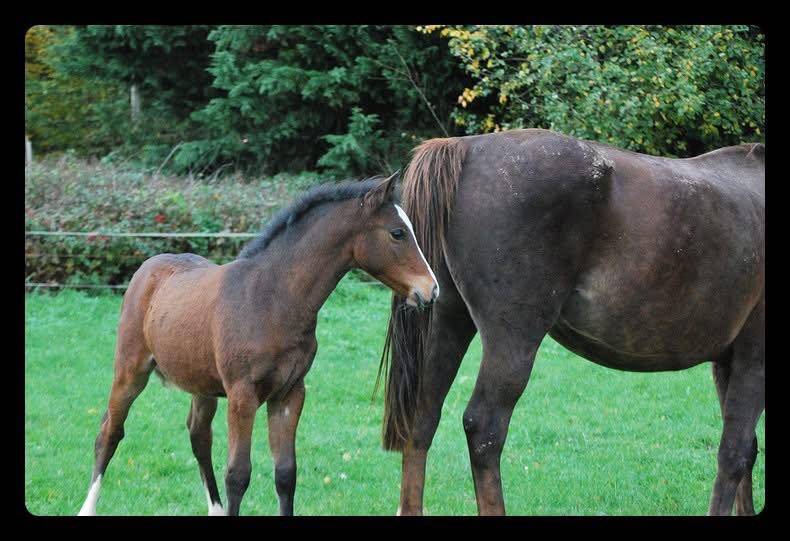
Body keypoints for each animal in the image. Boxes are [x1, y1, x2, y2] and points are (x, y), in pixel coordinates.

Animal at [77, 172, 439, 516]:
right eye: (397, 233)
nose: (431, 290)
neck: (272, 298)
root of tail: (148, 267)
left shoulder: (289, 393)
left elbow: (286, 473)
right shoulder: (243, 394)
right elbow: (238, 473)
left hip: (203, 385)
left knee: (199, 436)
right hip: (130, 371)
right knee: (109, 432)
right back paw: (88, 507)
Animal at [378, 128, 764, 516]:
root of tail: (467, 146)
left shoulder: (726, 363)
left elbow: (746, 453)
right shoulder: (752, 363)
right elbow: (734, 454)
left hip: (446, 324)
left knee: (422, 419)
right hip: (512, 342)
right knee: (484, 429)